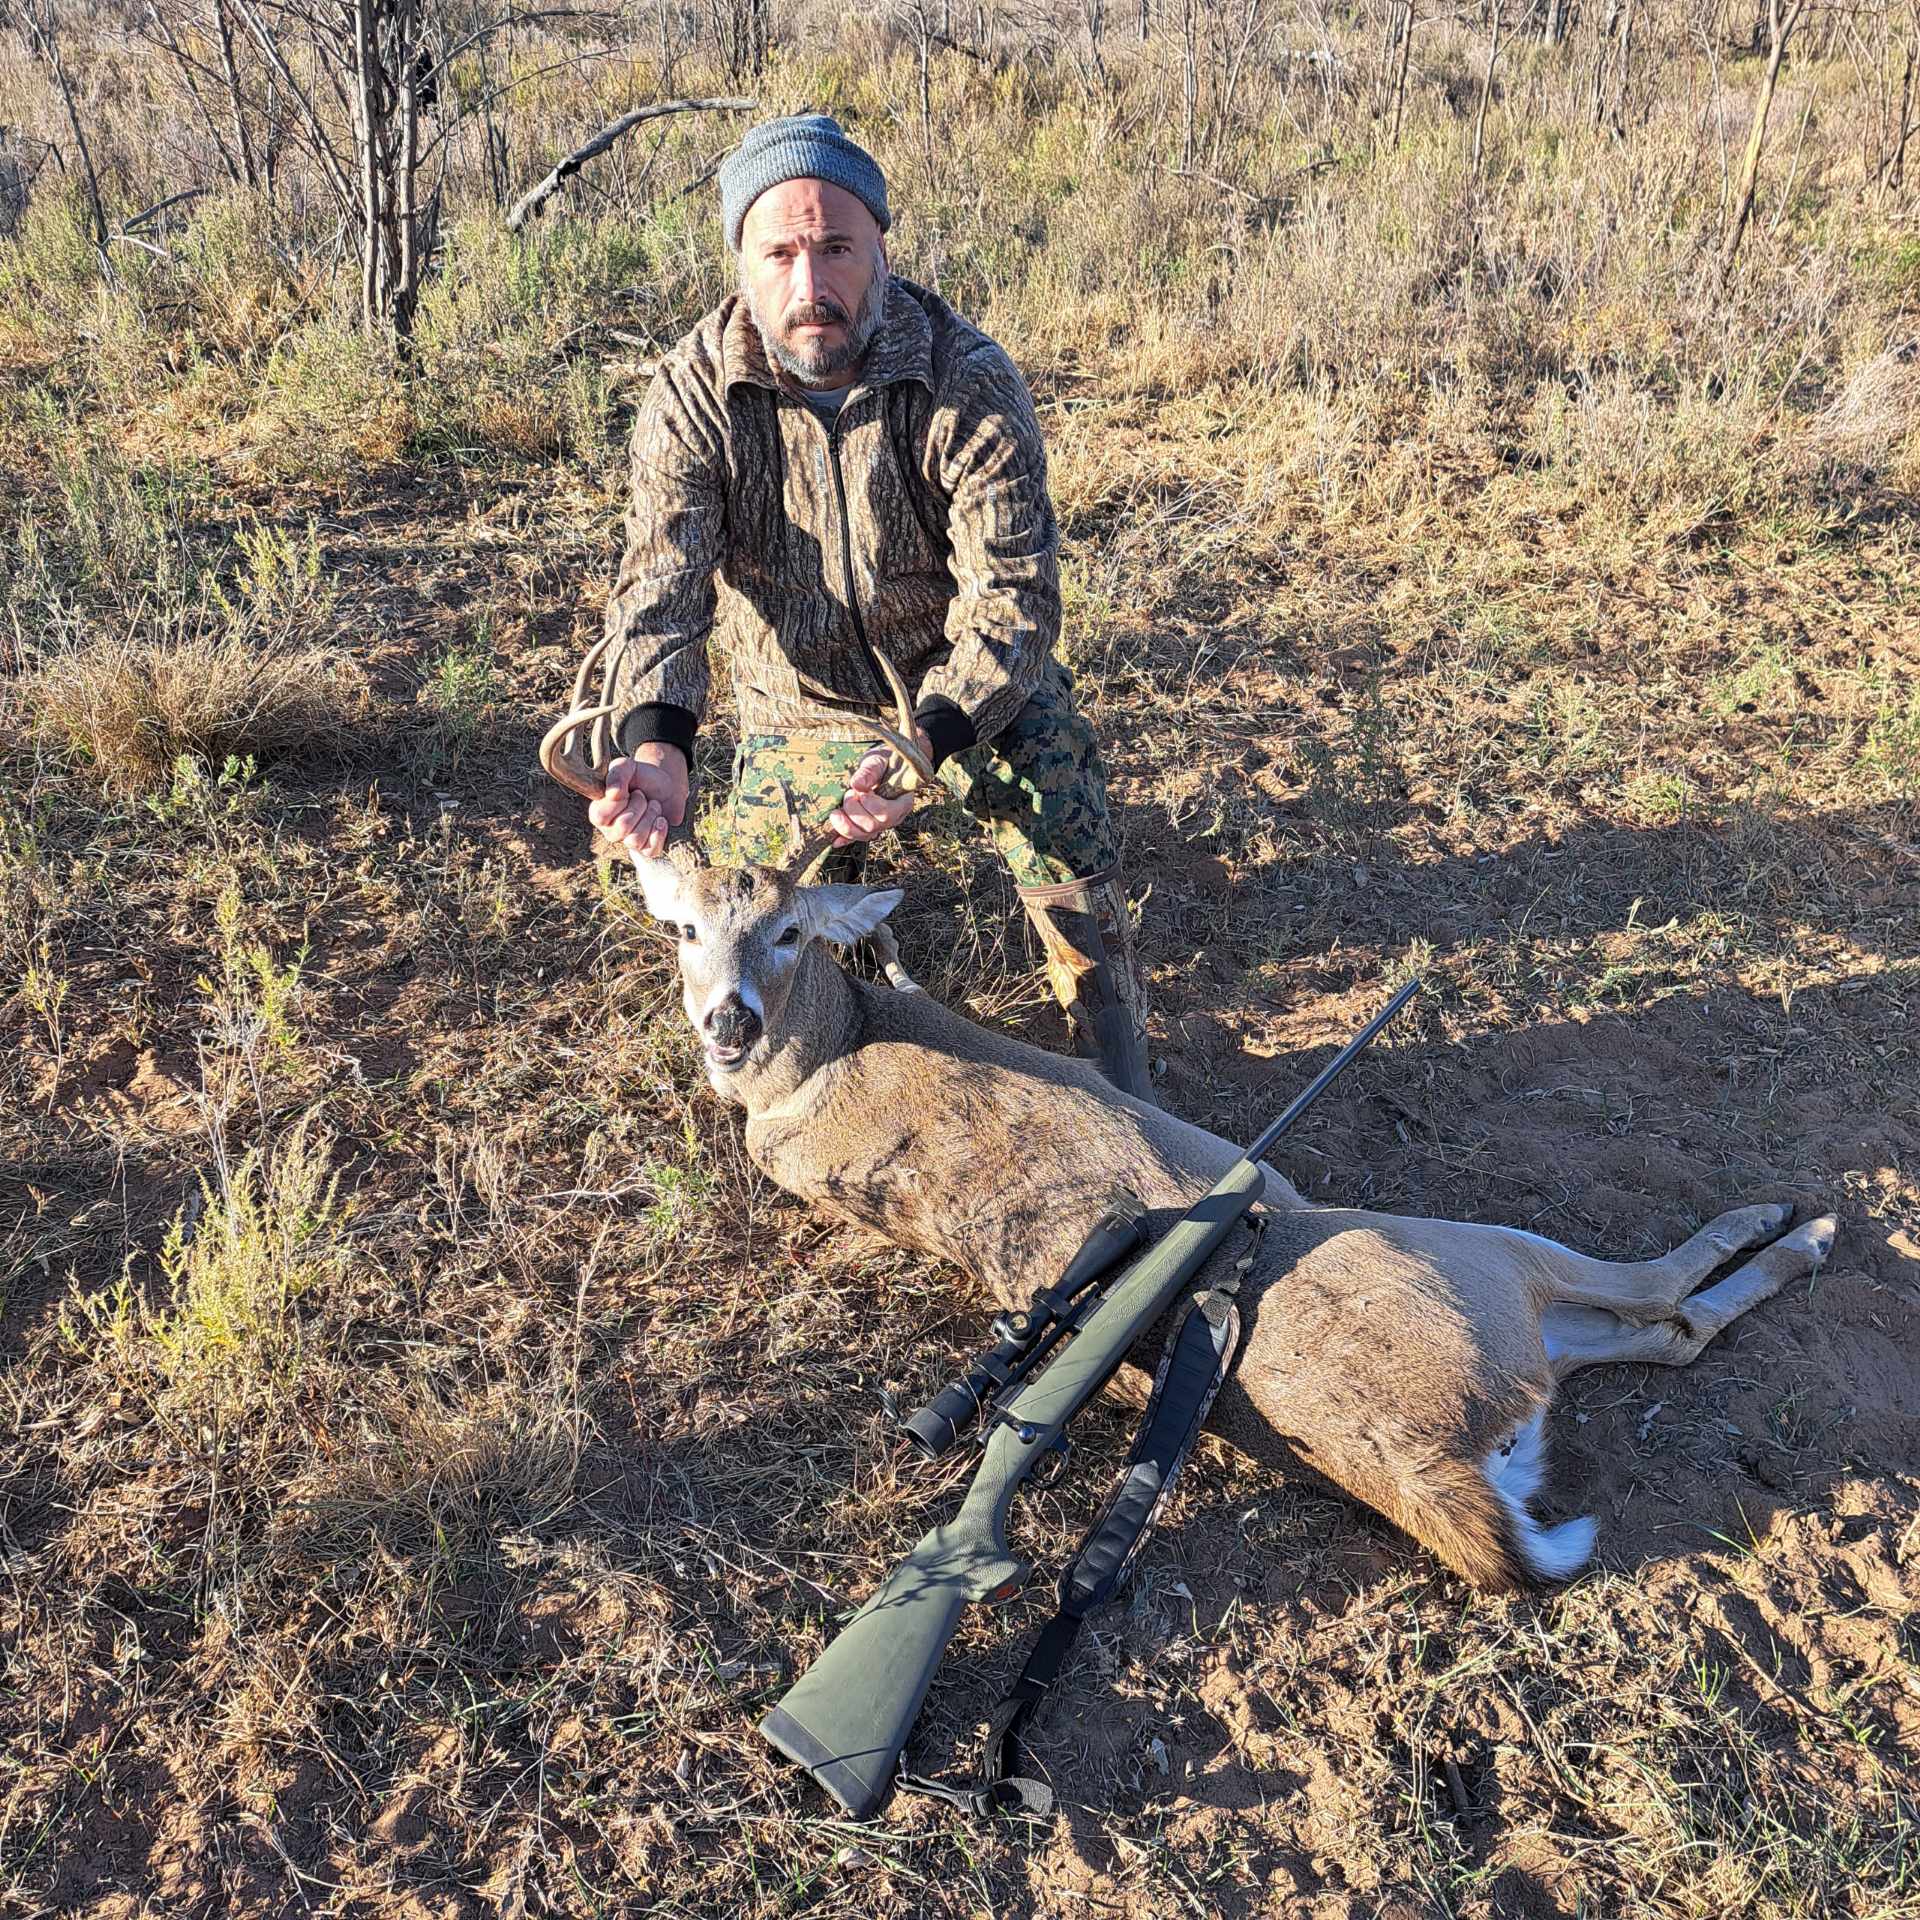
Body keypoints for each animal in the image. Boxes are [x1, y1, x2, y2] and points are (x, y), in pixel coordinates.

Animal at [541, 656, 1837, 1592]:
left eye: (788, 930)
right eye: (683, 930)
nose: (727, 1020)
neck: (819, 1062)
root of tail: (1442, 1471)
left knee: (1664, 1333)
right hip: (1473, 1264)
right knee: (1659, 1294)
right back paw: (1799, 1222)